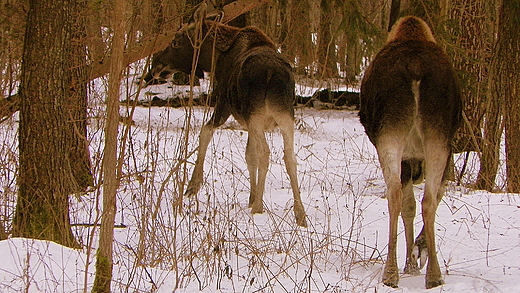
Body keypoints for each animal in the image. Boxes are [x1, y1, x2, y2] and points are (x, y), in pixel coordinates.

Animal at [142, 4, 308, 227]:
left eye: (176, 41)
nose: (156, 65)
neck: (214, 59)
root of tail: (274, 75)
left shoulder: (224, 102)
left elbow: (205, 132)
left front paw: (193, 185)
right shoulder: (249, 121)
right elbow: (249, 155)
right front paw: (251, 197)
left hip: (256, 113)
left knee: (265, 153)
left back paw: (259, 208)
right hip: (285, 116)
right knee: (289, 157)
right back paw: (300, 213)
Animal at [358, 16, 464, 288]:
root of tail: (415, 68)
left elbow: (413, 204)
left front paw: (414, 257)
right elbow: (416, 203)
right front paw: (415, 255)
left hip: (399, 134)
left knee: (403, 194)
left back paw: (401, 272)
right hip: (431, 136)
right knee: (420, 197)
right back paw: (421, 273)